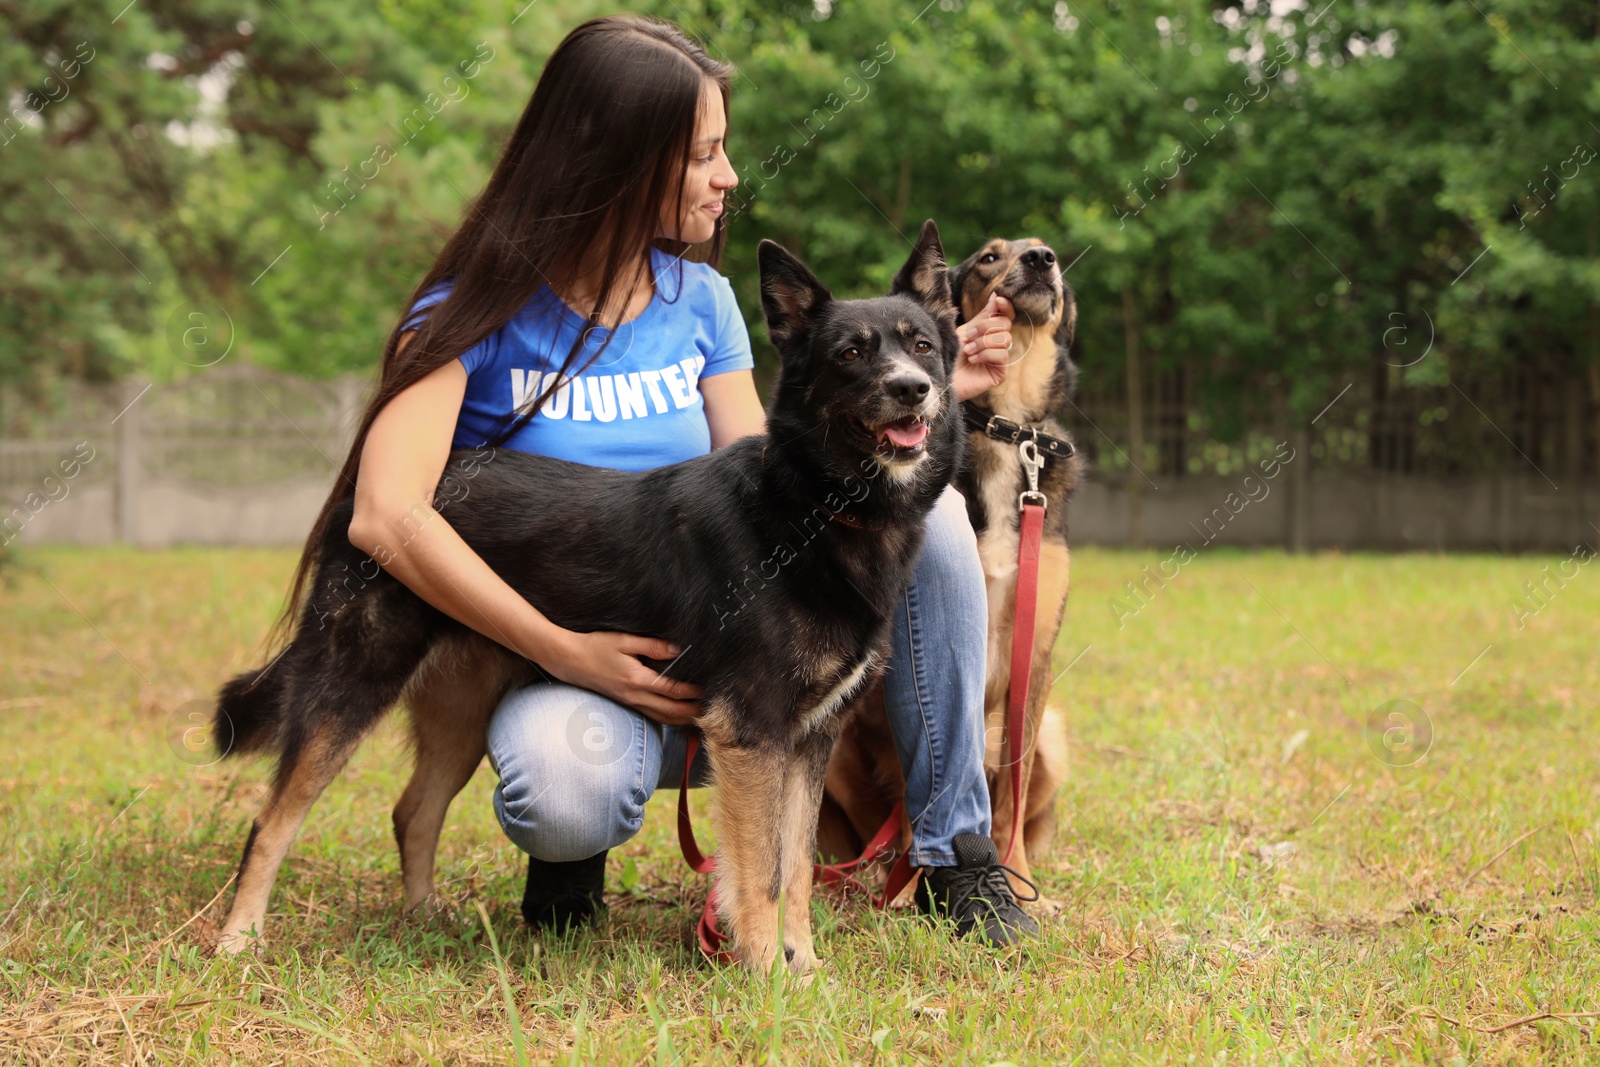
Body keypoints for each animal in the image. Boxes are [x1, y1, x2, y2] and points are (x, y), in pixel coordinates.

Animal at [209, 220, 960, 972]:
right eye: (850, 353)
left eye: (922, 344)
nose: (913, 388)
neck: (814, 505)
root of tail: (361, 491)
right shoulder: (753, 733)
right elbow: (763, 873)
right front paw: (764, 970)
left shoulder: (809, 740)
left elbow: (797, 865)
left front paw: (801, 967)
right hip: (350, 685)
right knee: (270, 820)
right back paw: (240, 938)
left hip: (460, 708)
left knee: (413, 811)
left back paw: (422, 920)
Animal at [819, 238, 1081, 895]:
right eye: (990, 256)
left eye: (1046, 251)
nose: (1042, 259)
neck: (1007, 426)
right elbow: (921, 791)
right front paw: (914, 889)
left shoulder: (1034, 655)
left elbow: (1010, 792)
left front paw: (1016, 877)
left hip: (1055, 735)